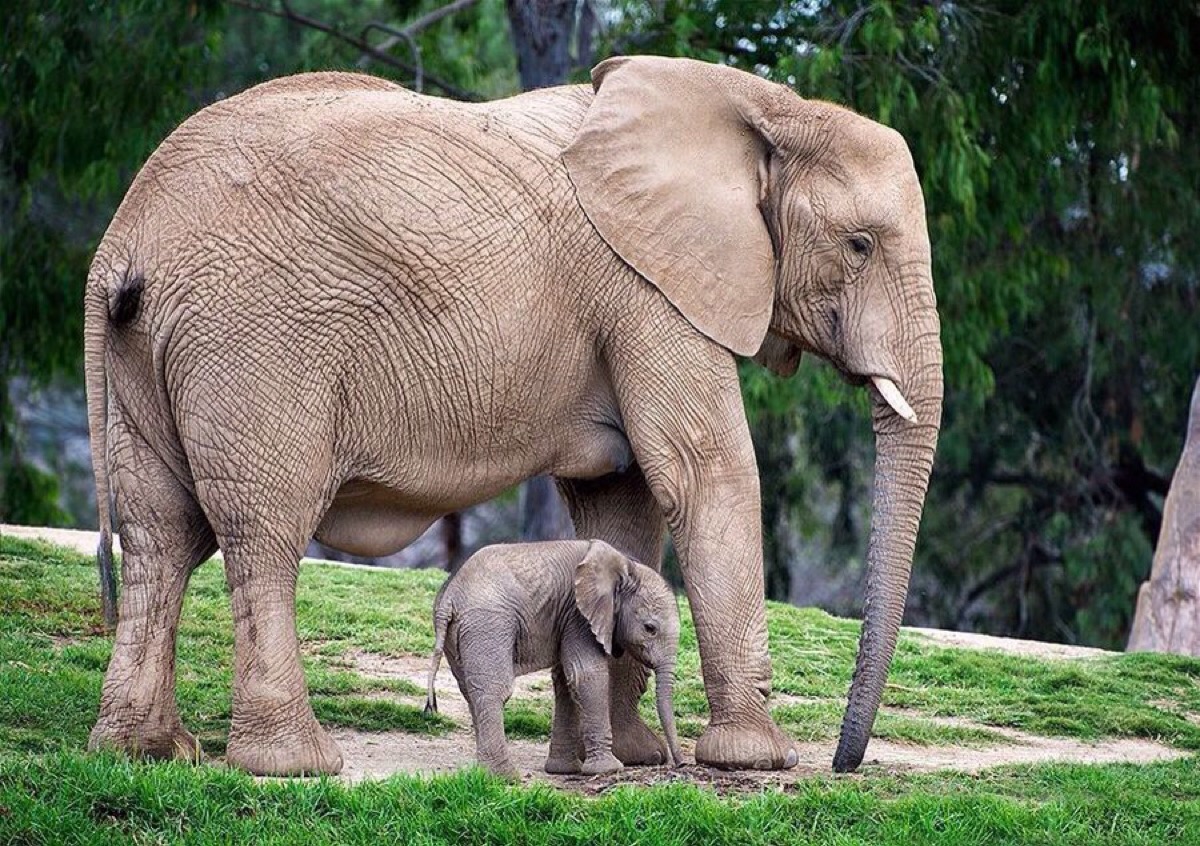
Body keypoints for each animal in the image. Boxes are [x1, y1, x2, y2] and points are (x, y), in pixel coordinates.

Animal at [427, 537, 681, 777]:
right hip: (488, 623)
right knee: (493, 689)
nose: (679, 763)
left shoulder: (565, 617)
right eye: (650, 628)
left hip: (458, 635)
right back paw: (504, 777)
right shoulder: (578, 616)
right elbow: (586, 674)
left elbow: (565, 679)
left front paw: (564, 770)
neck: (625, 566)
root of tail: (449, 598)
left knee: (470, 691)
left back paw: (484, 773)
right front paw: (608, 770)